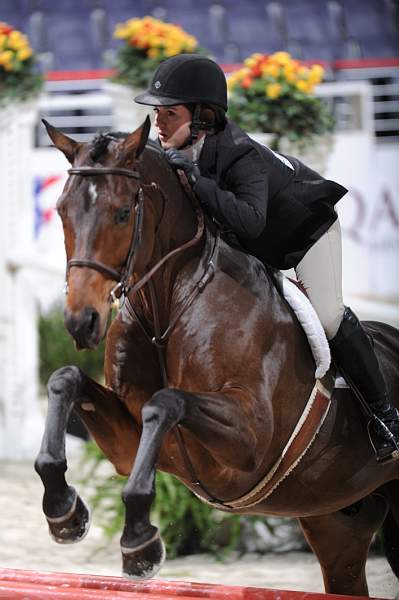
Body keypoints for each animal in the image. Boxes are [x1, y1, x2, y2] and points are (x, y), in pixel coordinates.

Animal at [35, 117, 399, 596]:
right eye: (62, 211)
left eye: (122, 212)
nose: (82, 322)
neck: (168, 306)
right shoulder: (128, 444)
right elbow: (65, 379)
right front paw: (64, 512)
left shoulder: (250, 440)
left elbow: (166, 402)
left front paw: (140, 543)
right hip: (336, 524)